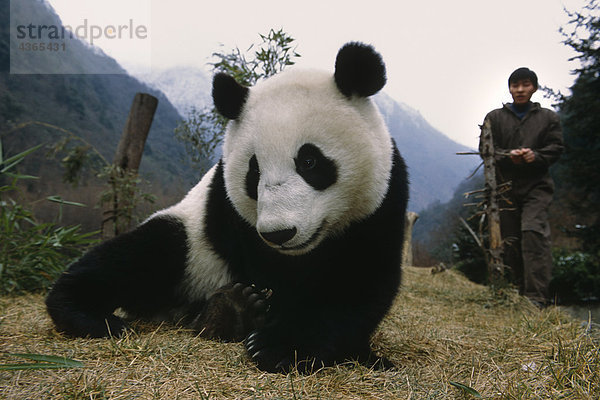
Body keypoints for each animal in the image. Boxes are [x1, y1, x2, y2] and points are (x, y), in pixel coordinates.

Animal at [45, 42, 408, 374]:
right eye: (254, 171)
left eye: (310, 161)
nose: (280, 233)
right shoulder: (231, 211)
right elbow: (269, 271)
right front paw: (273, 336)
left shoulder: (381, 202)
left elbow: (357, 280)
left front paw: (280, 346)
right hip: (190, 243)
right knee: (143, 254)